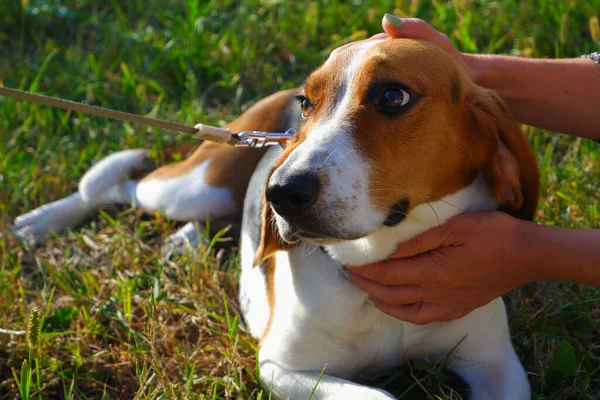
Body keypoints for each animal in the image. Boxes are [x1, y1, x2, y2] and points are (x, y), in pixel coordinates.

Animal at [12, 36, 540, 400]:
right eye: (309, 104)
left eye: (393, 97)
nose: (280, 193)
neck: (376, 262)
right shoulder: (283, 367)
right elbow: (377, 393)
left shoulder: (497, 365)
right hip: (192, 187)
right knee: (121, 181)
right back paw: (41, 221)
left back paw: (187, 241)